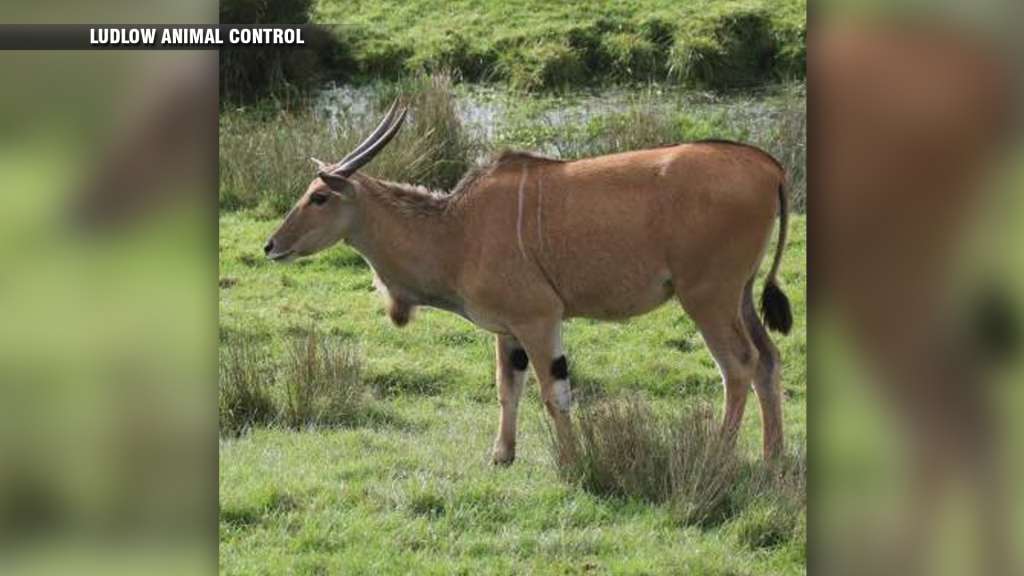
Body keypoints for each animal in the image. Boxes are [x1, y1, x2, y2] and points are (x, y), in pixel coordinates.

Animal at [265, 101, 793, 463]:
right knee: (767, 359)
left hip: (707, 295)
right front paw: (502, 455)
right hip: (740, 294)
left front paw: (574, 461)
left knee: (738, 365)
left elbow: (553, 393)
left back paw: (719, 453)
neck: (457, 230)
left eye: (318, 197)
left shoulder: (540, 318)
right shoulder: (509, 330)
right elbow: (508, 386)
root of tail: (770, 168)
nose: (271, 245)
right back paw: (772, 456)